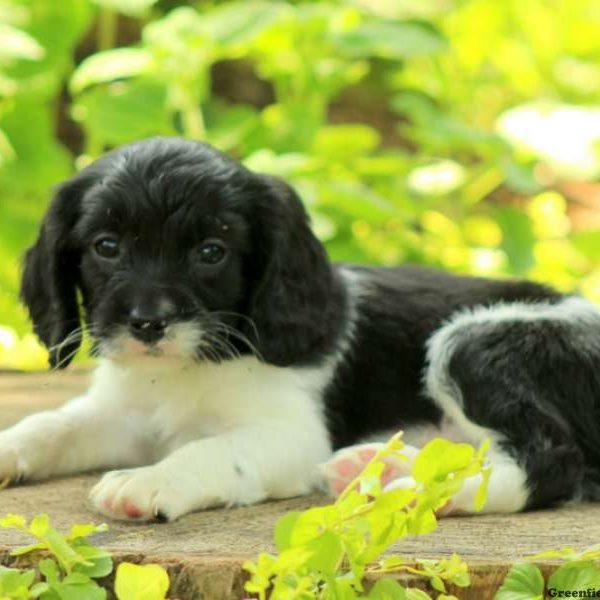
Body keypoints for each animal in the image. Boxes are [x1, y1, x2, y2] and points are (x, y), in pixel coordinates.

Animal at [5, 136, 600, 520]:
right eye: (106, 246)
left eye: (211, 252)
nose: (149, 322)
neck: (184, 372)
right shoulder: (123, 415)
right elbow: (51, 425)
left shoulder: (291, 434)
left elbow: (211, 449)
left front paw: (151, 479)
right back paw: (382, 468)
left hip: (474, 343)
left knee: (553, 459)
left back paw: (422, 493)